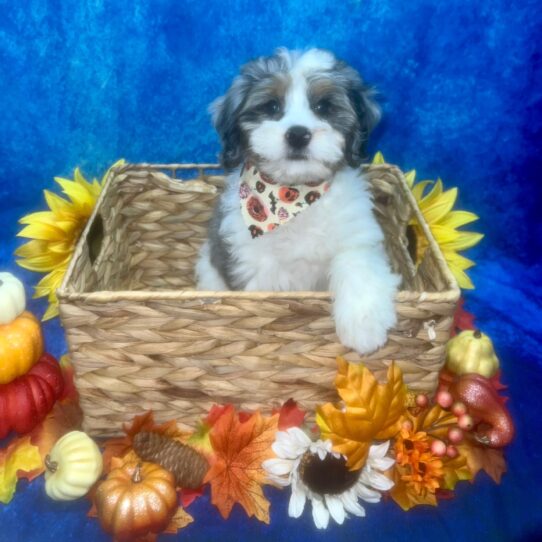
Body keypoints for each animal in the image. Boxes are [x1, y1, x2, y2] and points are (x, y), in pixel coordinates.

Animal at [198, 49, 402, 354]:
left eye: (323, 107)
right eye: (272, 106)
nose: (297, 134)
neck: (295, 195)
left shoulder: (357, 238)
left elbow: (359, 269)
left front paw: (363, 326)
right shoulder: (254, 263)